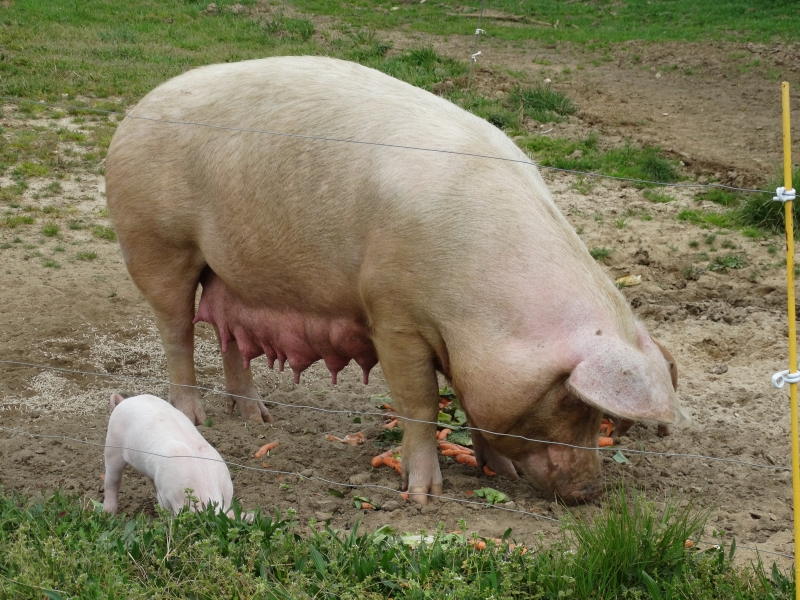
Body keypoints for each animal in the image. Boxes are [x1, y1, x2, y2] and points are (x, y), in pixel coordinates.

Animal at [104, 56, 680, 502]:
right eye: (571, 400)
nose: (591, 492)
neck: (485, 308)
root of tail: (135, 111)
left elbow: (473, 404)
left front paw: (501, 472)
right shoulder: (394, 315)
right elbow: (420, 405)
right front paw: (423, 496)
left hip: (229, 271)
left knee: (230, 335)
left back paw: (259, 419)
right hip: (156, 244)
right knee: (177, 332)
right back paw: (197, 418)